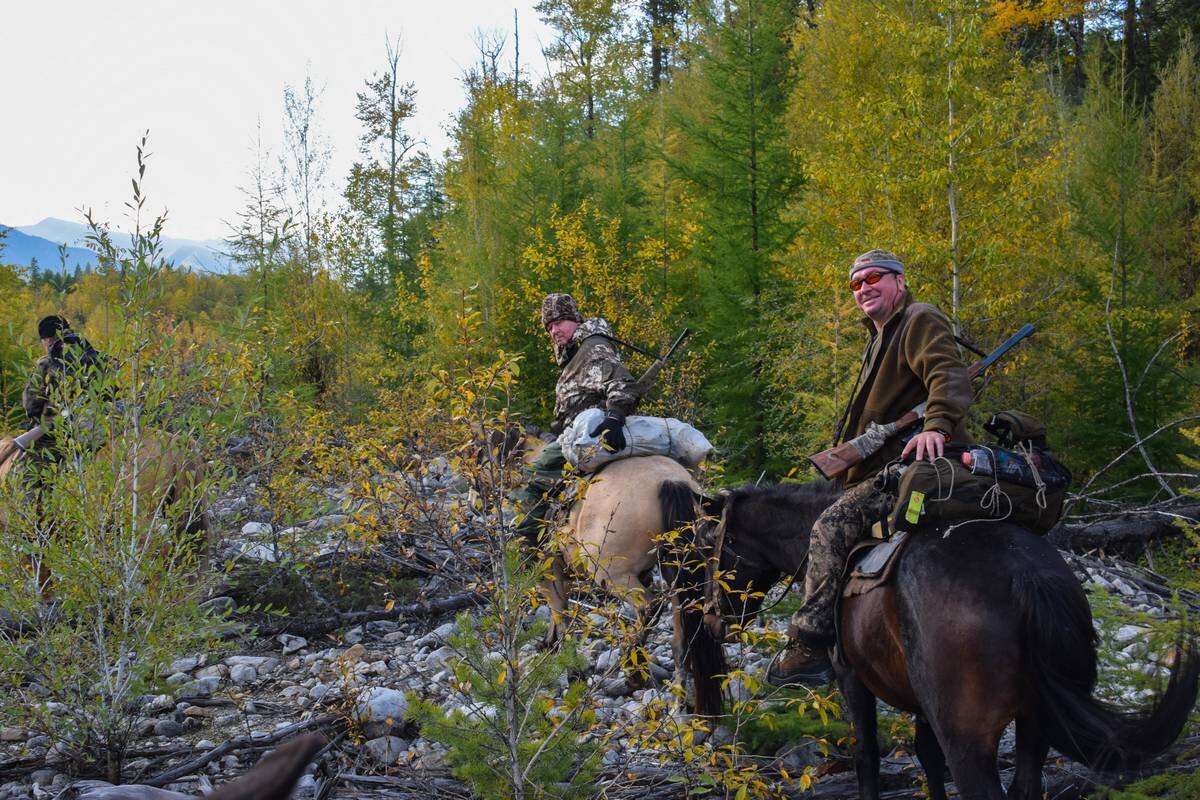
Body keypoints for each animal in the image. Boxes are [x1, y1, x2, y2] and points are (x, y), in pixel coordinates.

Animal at [662, 482, 1200, 800]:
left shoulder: (852, 679)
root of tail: (1026, 576)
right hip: (1035, 724)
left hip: (972, 739)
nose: (712, 620)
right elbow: (926, 756)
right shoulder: (923, 701)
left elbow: (867, 759)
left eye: (710, 551)